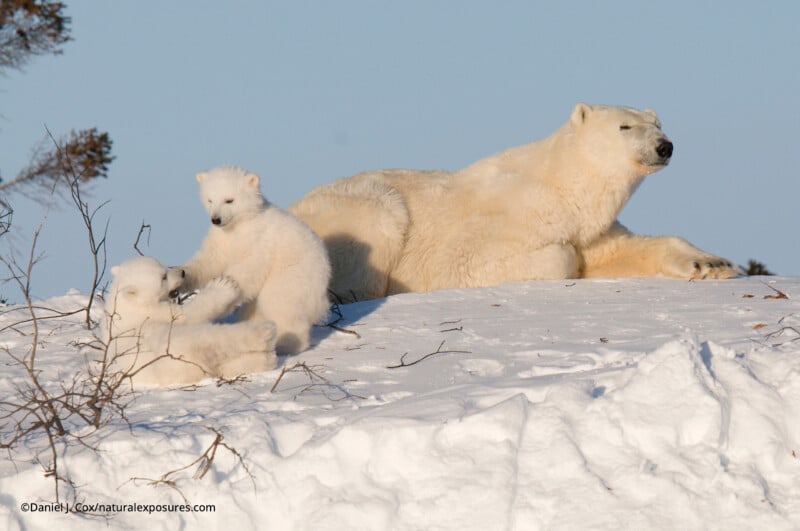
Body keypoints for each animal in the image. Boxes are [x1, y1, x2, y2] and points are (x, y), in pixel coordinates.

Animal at [100, 256, 277, 387]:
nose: (182, 272)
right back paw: (265, 335)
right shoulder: (152, 313)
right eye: (163, 277)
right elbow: (189, 314)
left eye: (164, 266)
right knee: (208, 338)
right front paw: (224, 285)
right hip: (171, 352)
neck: (125, 305)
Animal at [181, 166, 331, 355]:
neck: (241, 222)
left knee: (280, 302)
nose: (216, 219)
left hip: (293, 274)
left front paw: (227, 287)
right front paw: (181, 274)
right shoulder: (221, 238)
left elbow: (248, 268)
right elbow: (210, 260)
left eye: (229, 200)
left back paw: (284, 343)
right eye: (210, 200)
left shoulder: (258, 239)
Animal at [289, 102, 741, 301]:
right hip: (361, 209)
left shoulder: (592, 228)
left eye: (658, 123)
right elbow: (481, 259)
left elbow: (624, 249)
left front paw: (712, 264)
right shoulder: (505, 219)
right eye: (625, 126)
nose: (665, 146)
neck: (561, 185)